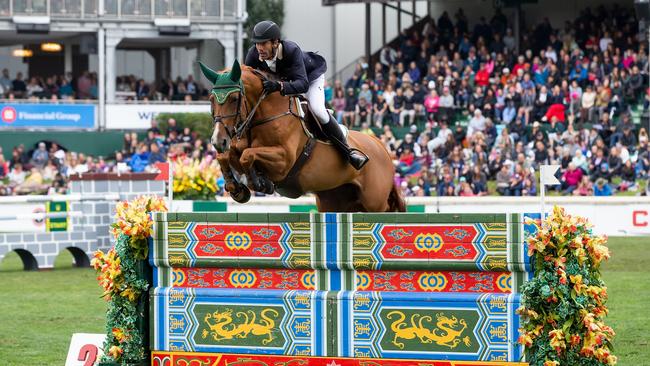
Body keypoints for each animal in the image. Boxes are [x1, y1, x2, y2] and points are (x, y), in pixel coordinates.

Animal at [200, 59, 402, 212]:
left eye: (234, 99)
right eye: (211, 100)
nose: (218, 141)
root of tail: (381, 146)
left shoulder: (283, 161)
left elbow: (247, 155)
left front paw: (258, 182)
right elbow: (225, 156)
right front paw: (236, 189)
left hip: (374, 202)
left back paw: (356, 158)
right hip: (335, 200)